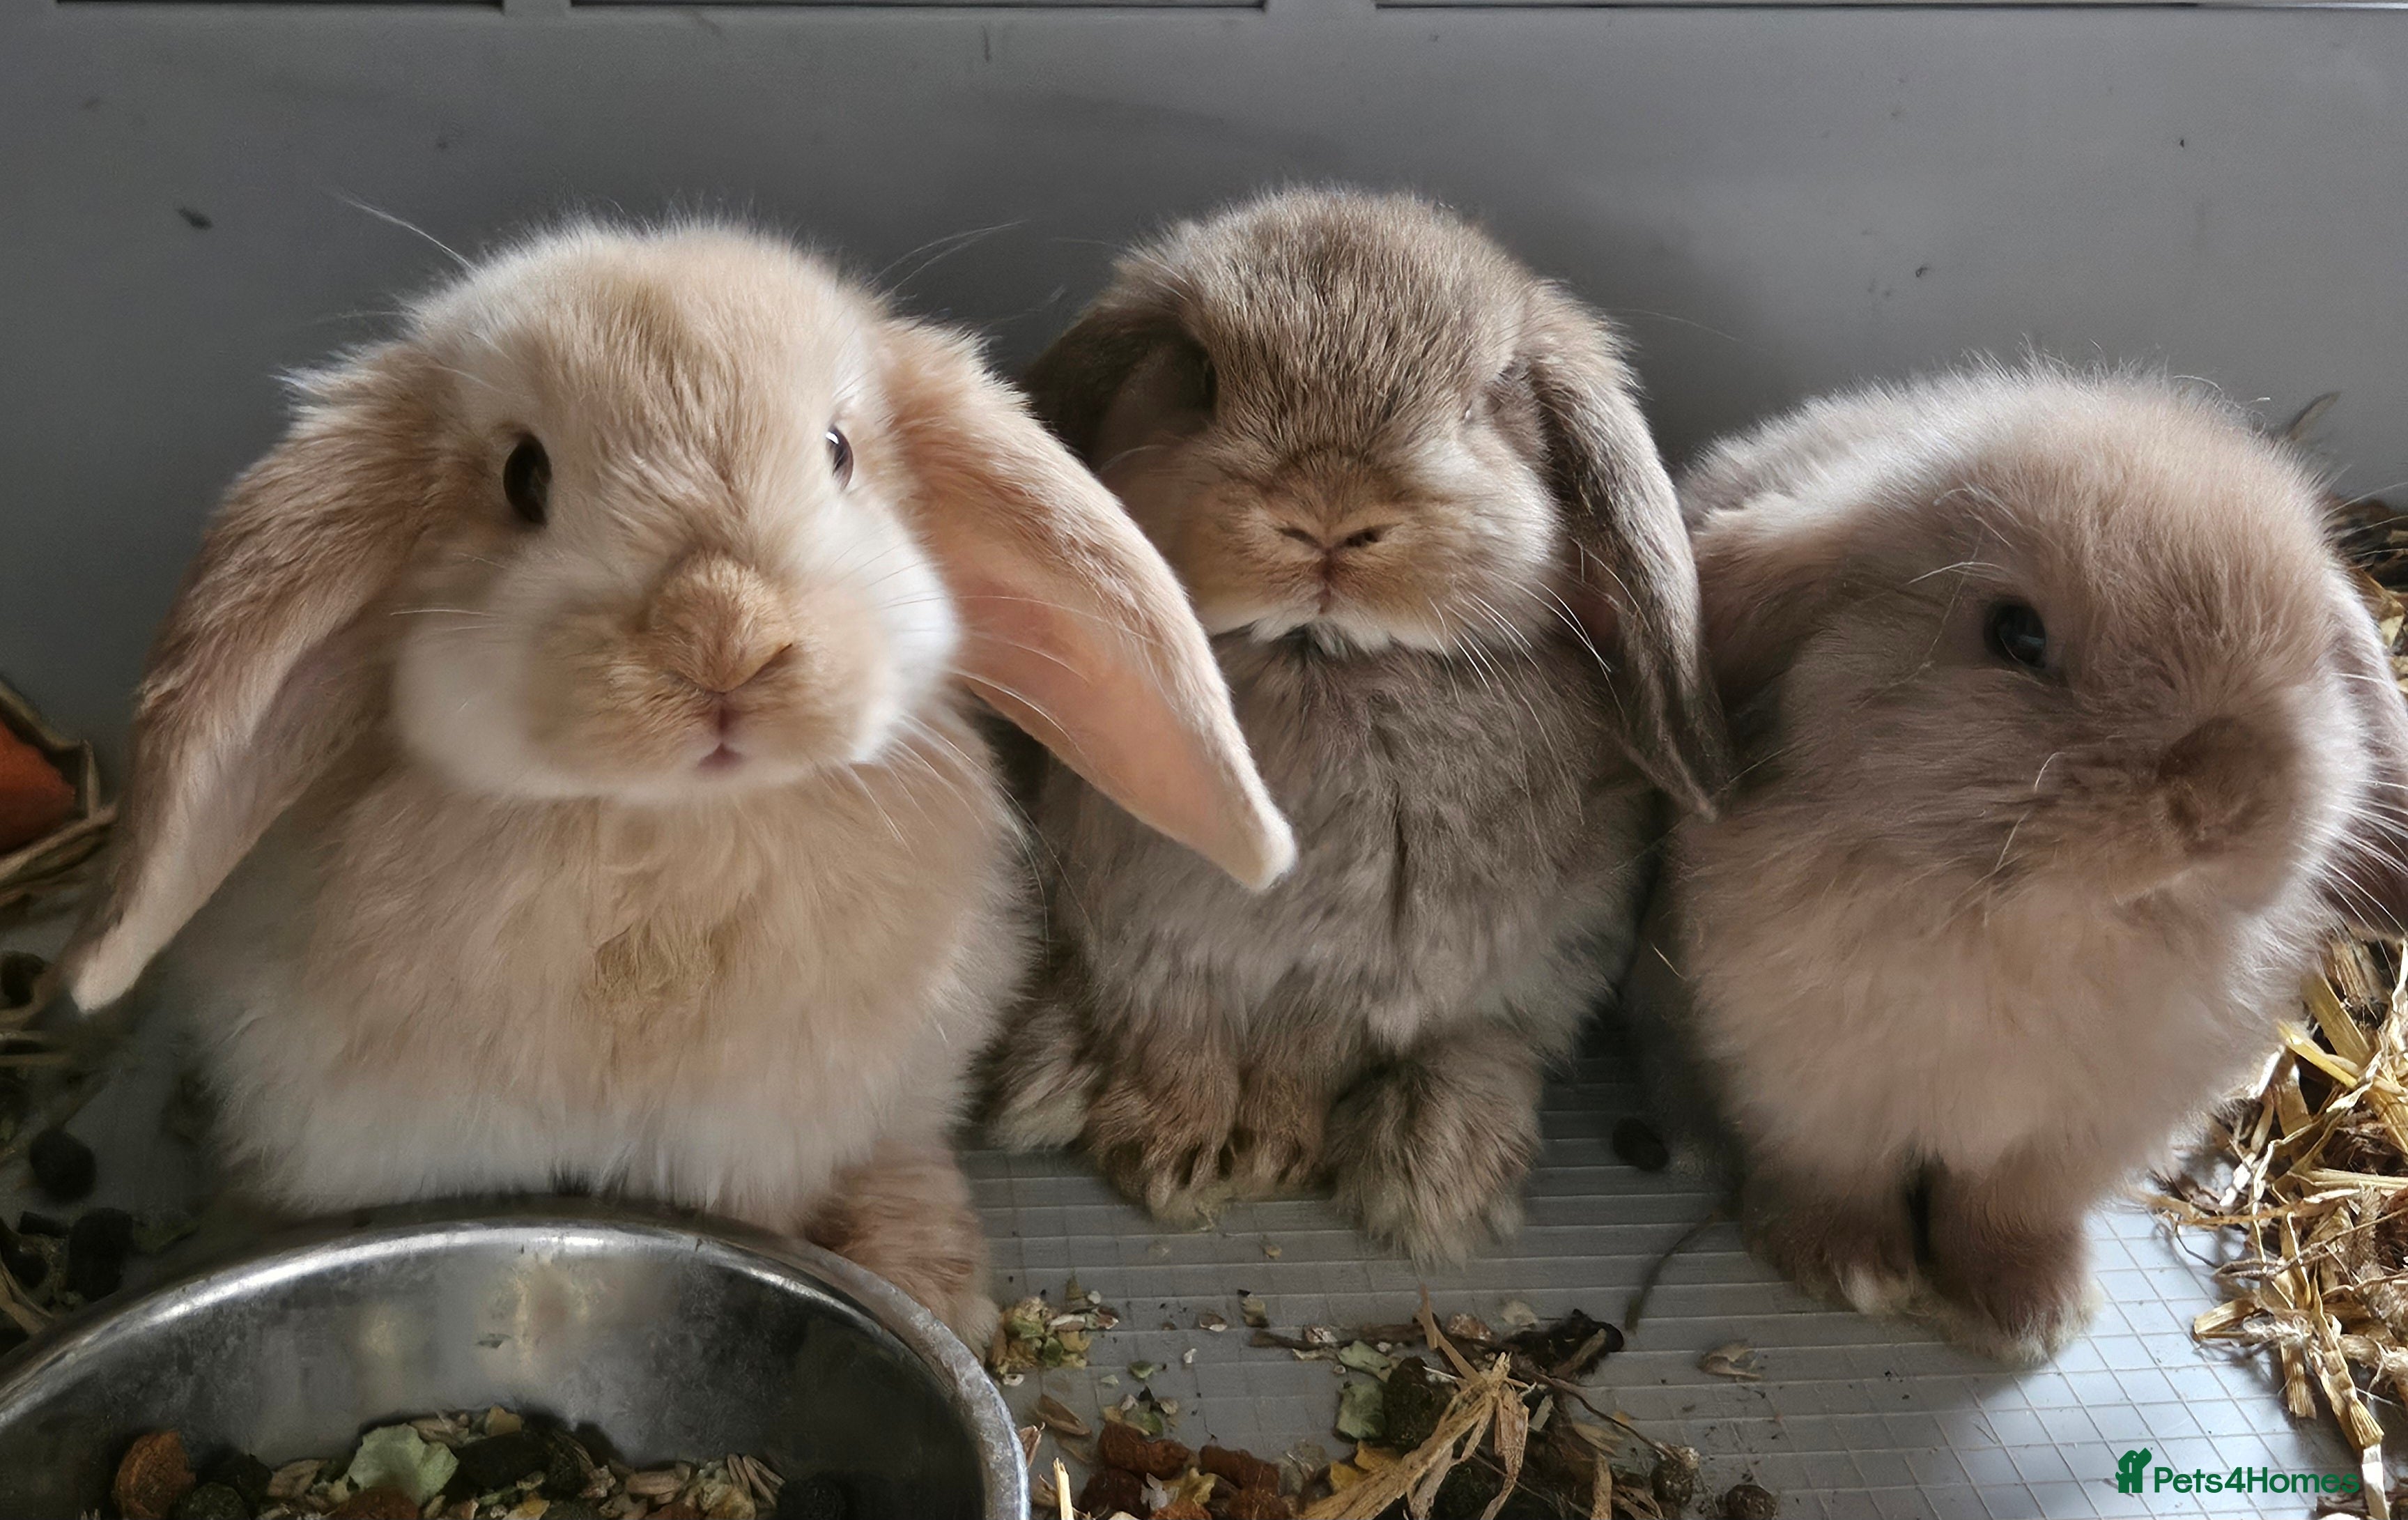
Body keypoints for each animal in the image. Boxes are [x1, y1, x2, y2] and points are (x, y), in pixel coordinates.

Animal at [984, 188, 1730, 1260]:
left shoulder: (1358, 975)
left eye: (1491, 399)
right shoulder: (1149, 943)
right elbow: (1174, 1042)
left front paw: (1265, 1153)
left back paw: (1435, 1162)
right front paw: (1170, 1152)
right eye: (1200, 374)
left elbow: (1304, 1060)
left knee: (1498, 1040)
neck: (1319, 663)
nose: (1328, 513)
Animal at [1648, 363, 2408, 1361]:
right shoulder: (1804, 1091)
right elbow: (1838, 1177)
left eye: (2310, 652)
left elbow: (2005, 1213)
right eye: (2017, 635)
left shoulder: (2071, 1141)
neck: (2032, 925)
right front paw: (1850, 1271)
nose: (2223, 794)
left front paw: (2031, 1315)